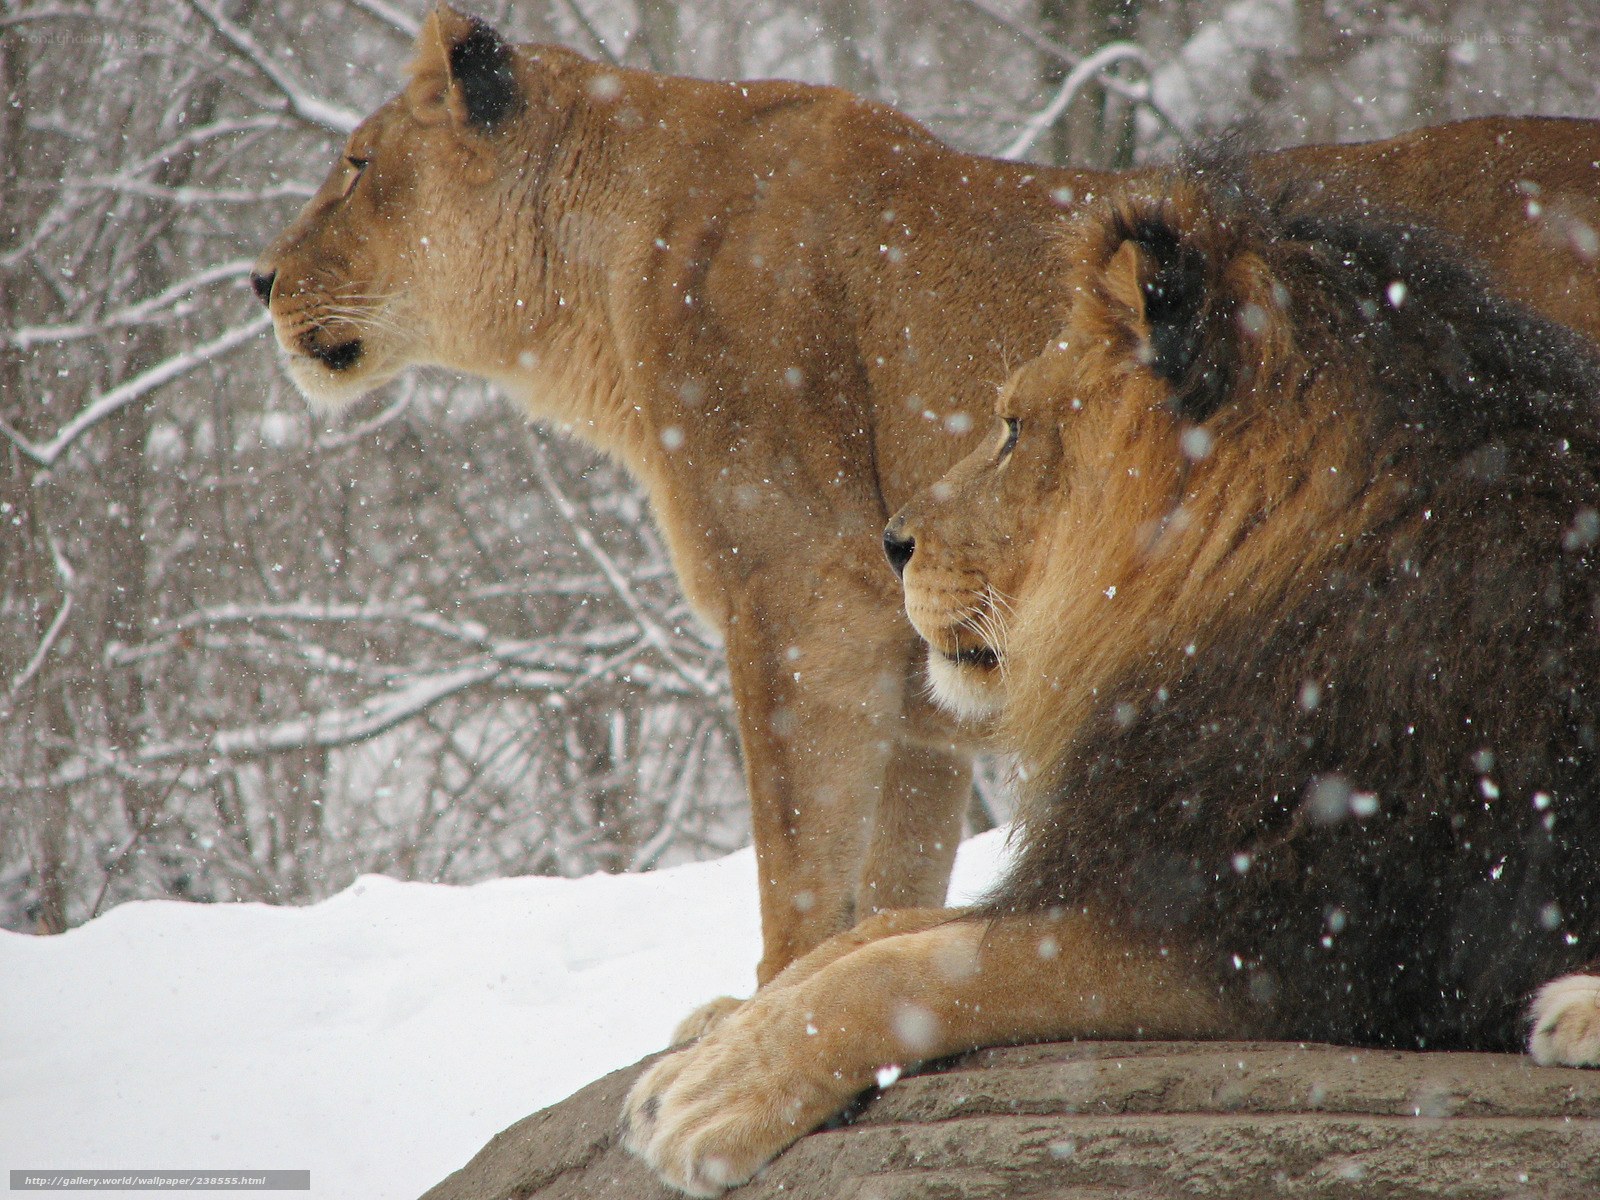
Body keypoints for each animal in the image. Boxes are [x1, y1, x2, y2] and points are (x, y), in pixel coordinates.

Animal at [252, 4, 1600, 1006]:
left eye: (356, 166)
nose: (260, 278)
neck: (602, 273)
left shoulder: (804, 602)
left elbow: (798, 866)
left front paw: (766, 1007)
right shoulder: (920, 684)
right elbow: (894, 882)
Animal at [621, 168, 1600, 1195]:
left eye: (1014, 429)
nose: (891, 542)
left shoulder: (1282, 933)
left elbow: (921, 968)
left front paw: (717, 1091)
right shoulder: (1125, 857)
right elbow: (879, 933)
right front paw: (710, 1040)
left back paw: (1572, 1010)